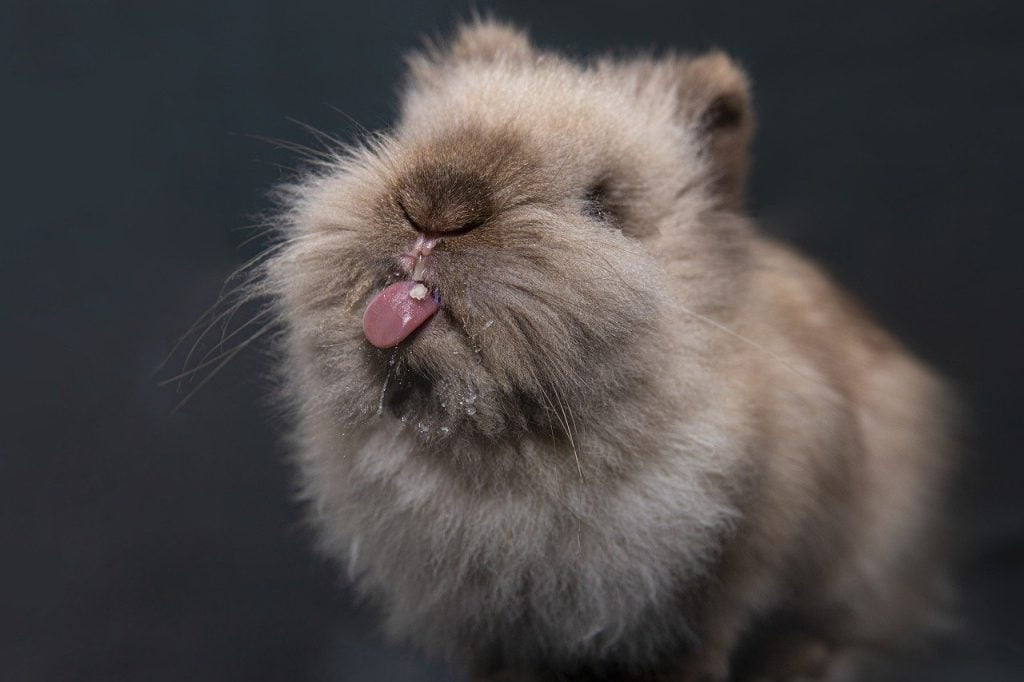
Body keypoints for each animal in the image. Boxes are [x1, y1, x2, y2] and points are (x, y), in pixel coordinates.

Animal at [262, 19, 956, 682]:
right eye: (421, 143)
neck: (502, 450)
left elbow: (700, 641)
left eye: (603, 206)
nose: (435, 206)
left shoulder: (719, 576)